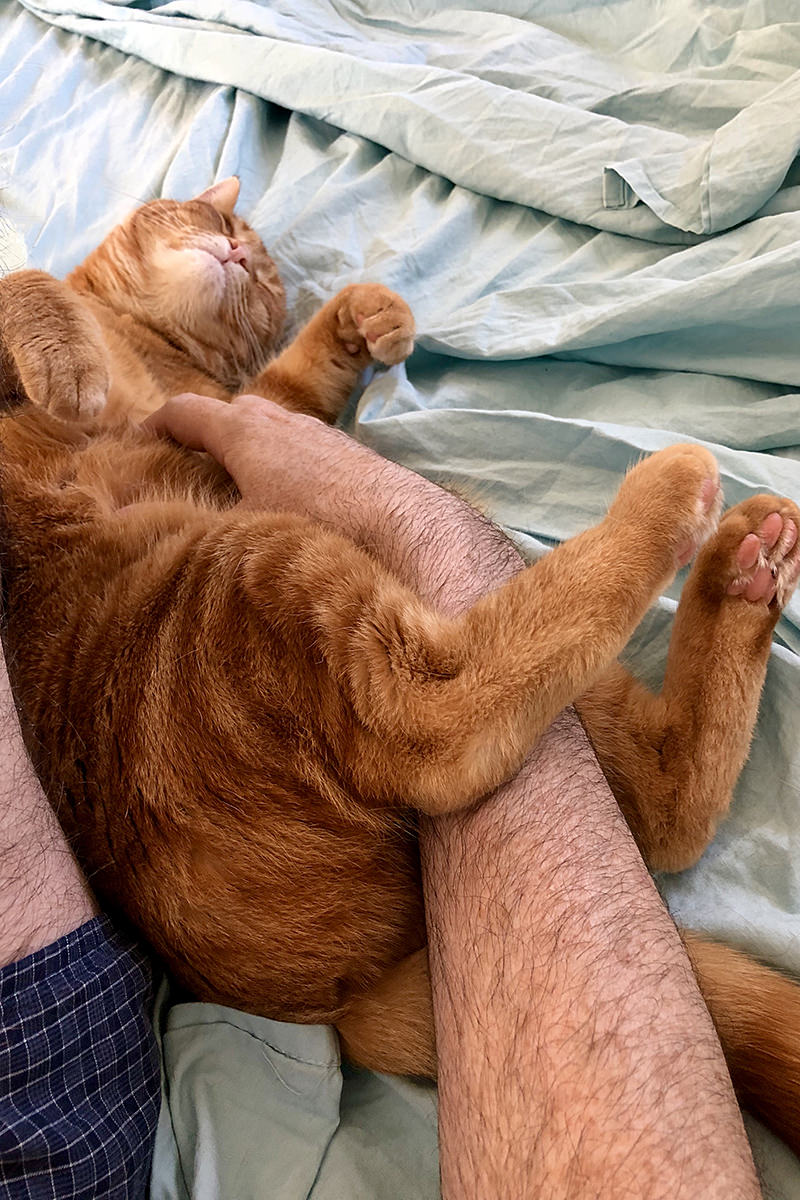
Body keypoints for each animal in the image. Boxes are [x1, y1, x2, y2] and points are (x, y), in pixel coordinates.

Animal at [1, 180, 800, 1152]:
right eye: (216, 224)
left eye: (257, 267)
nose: (233, 253)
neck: (143, 341)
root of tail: (333, 1006)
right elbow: (29, 282)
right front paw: (69, 367)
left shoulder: (252, 403)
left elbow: (299, 377)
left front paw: (361, 318)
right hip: (270, 573)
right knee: (447, 727)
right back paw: (679, 505)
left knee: (653, 798)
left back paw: (742, 571)